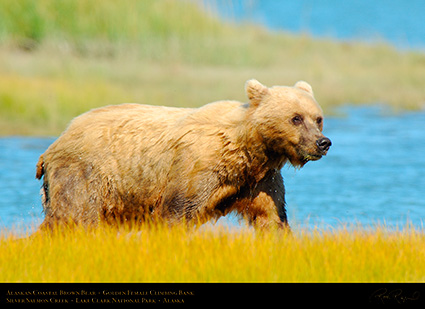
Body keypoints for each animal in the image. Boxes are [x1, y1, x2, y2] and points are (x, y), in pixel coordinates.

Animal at [35, 79, 332, 229]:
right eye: (296, 118)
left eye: (317, 118)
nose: (323, 143)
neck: (251, 147)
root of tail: (55, 143)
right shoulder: (197, 168)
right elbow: (177, 214)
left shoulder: (260, 179)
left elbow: (271, 217)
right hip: (85, 174)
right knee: (74, 217)